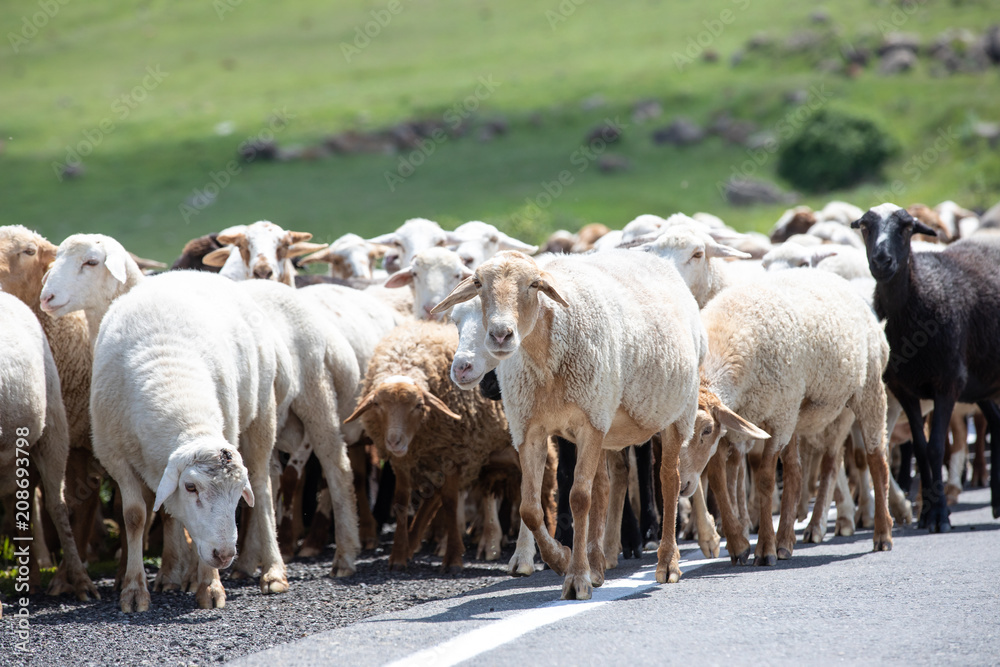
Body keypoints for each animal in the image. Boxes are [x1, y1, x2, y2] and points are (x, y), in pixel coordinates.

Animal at [434, 249, 708, 600]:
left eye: (534, 284)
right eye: (479, 284)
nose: (500, 335)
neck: (542, 360)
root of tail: (650, 254)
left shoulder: (589, 423)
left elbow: (578, 498)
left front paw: (576, 578)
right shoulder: (530, 428)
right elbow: (530, 508)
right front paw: (562, 560)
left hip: (675, 411)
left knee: (668, 479)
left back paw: (667, 563)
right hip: (607, 418)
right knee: (605, 484)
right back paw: (598, 562)